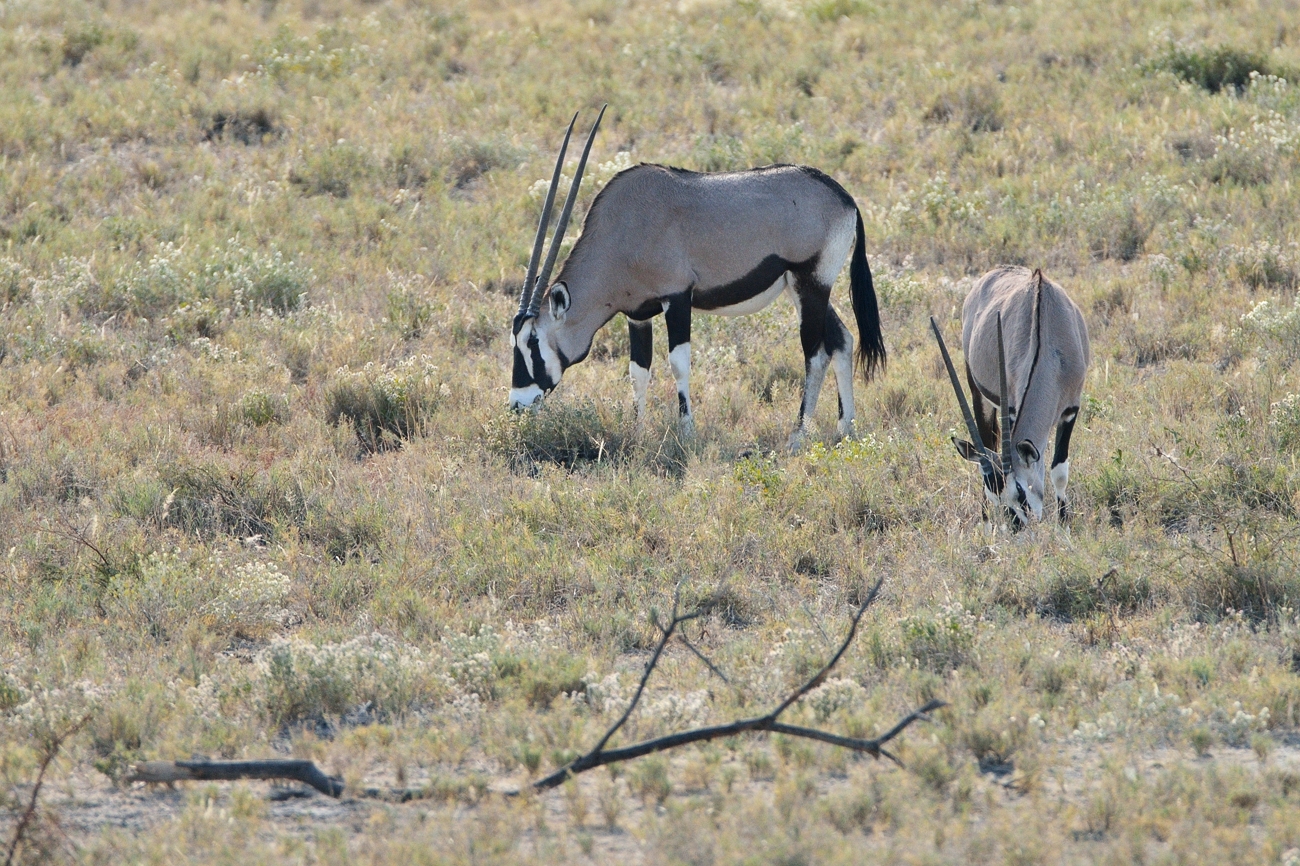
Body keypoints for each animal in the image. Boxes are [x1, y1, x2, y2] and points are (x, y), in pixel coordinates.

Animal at [506, 107, 883, 444]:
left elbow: (678, 363)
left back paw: (799, 434)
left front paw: (687, 433)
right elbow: (638, 371)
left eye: (532, 342)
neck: (623, 230)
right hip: (803, 288)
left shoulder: (677, 298)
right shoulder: (638, 314)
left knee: (815, 354)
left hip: (811, 284)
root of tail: (846, 200)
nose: (517, 406)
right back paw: (845, 428)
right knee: (842, 340)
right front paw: (637, 433)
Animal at [930, 266, 1092, 525]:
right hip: (978, 392)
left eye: (1020, 491)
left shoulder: (1070, 410)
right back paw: (987, 525)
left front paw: (1064, 526)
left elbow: (1059, 471)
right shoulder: (1013, 410)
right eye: (998, 497)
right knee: (987, 445)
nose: (1017, 528)